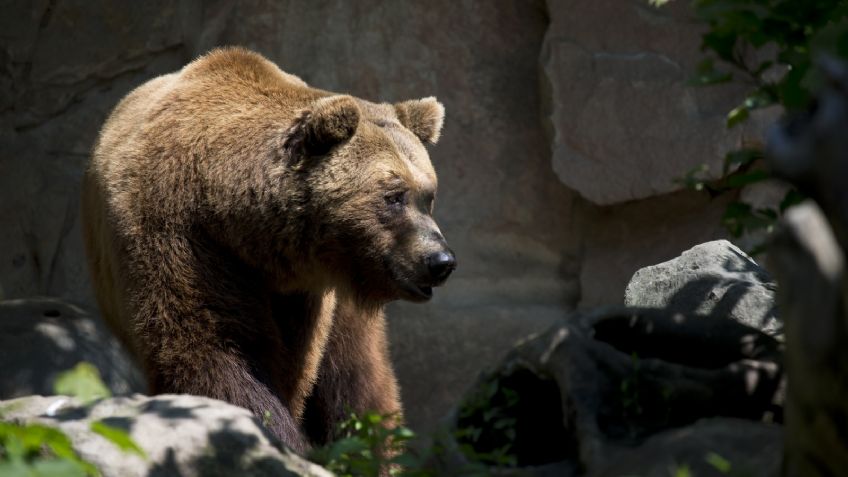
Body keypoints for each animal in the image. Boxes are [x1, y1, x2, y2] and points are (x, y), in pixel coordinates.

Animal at [83, 46, 458, 452]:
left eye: (428, 195)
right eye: (393, 196)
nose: (441, 261)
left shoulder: (305, 295)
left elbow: (299, 366)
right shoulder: (181, 237)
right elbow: (214, 349)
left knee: (358, 378)